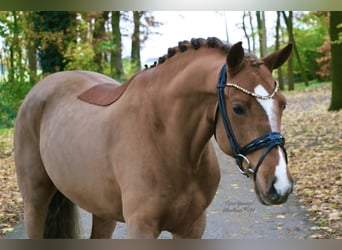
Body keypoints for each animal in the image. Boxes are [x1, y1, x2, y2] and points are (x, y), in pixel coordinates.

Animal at [14, 38, 294, 239]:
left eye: (283, 104)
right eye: (238, 108)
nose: (280, 185)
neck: (167, 140)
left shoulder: (192, 228)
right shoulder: (142, 228)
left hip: (102, 209)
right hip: (35, 202)